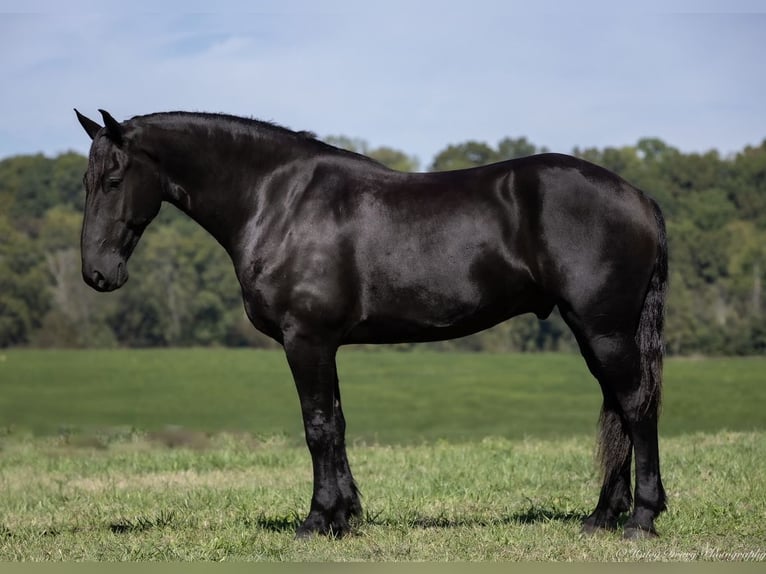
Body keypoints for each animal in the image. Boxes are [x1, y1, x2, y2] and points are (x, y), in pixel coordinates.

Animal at [75, 108, 667, 539]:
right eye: (85, 179)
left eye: (113, 178)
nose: (97, 273)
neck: (279, 201)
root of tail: (639, 197)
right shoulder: (324, 344)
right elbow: (336, 423)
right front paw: (346, 516)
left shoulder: (306, 340)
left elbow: (316, 427)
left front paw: (317, 521)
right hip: (596, 332)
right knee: (618, 408)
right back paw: (600, 517)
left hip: (603, 328)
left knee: (636, 406)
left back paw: (641, 517)